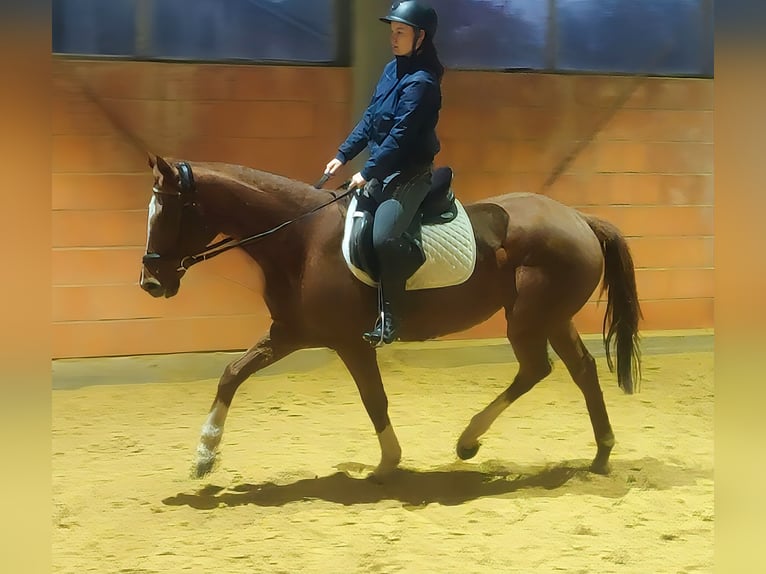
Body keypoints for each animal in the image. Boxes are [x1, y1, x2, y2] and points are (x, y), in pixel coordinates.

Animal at [139, 154, 642, 481]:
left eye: (167, 212)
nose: (150, 282)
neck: (302, 240)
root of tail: (579, 219)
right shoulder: (289, 332)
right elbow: (232, 372)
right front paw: (204, 456)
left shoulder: (348, 341)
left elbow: (373, 399)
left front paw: (387, 463)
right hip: (552, 318)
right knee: (581, 370)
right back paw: (600, 454)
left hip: (530, 319)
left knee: (538, 368)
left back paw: (469, 441)